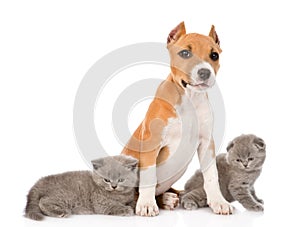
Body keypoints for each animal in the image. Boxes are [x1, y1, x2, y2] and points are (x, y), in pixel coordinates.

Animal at [121, 21, 232, 216]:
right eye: (185, 53)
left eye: (214, 55)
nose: (205, 72)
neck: (190, 99)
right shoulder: (151, 143)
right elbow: (148, 176)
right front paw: (146, 204)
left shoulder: (206, 143)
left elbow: (212, 175)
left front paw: (219, 201)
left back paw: (171, 196)